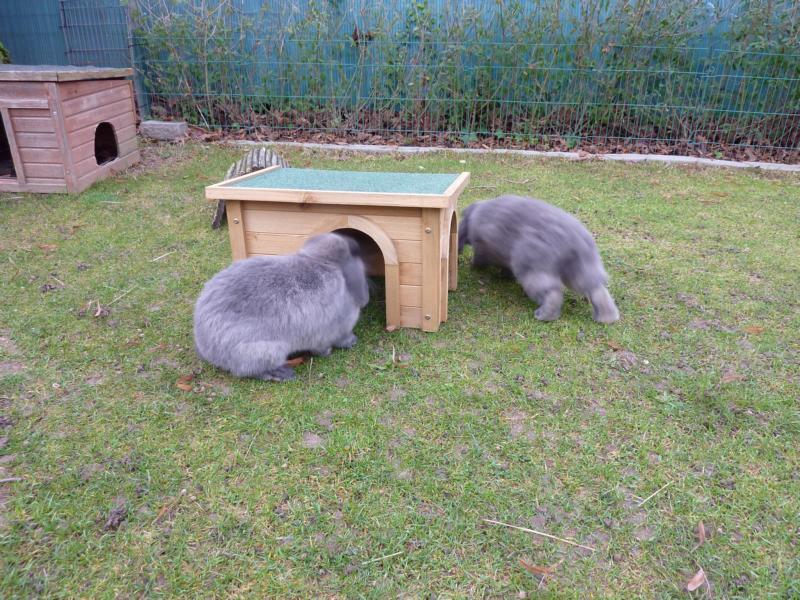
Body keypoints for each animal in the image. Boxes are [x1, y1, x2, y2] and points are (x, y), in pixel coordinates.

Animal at [193, 233, 369, 381]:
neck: (320, 260)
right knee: (250, 371)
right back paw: (283, 374)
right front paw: (347, 342)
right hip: (266, 351)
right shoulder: (329, 330)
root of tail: (208, 348)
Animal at [459, 195, 619, 323]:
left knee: (553, 293)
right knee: (598, 291)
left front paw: (475, 267)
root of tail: (572, 239)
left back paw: (545, 316)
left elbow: (479, 259)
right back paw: (606, 318)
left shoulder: (483, 249)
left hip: (533, 270)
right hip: (582, 270)